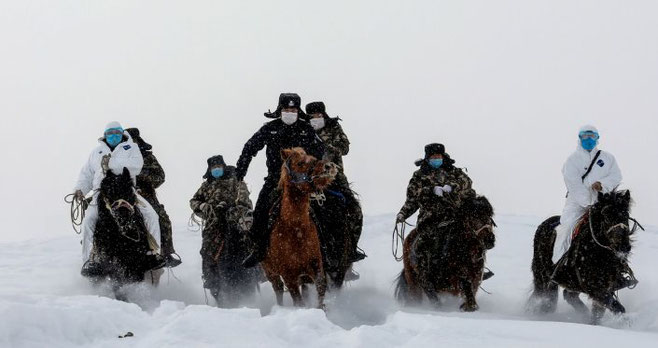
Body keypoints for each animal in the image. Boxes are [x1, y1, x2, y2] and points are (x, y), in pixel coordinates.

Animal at [260, 147, 336, 308]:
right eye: (300, 163)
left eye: (313, 157)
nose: (329, 166)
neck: (296, 229)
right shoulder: (288, 274)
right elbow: (297, 299)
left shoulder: (316, 264)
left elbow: (321, 286)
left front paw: (321, 309)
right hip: (270, 272)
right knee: (278, 289)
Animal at [532, 190, 640, 324]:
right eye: (606, 216)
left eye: (625, 215)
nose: (623, 247)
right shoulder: (595, 289)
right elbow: (616, 307)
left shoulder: (606, 288)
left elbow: (599, 313)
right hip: (542, 277)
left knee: (568, 295)